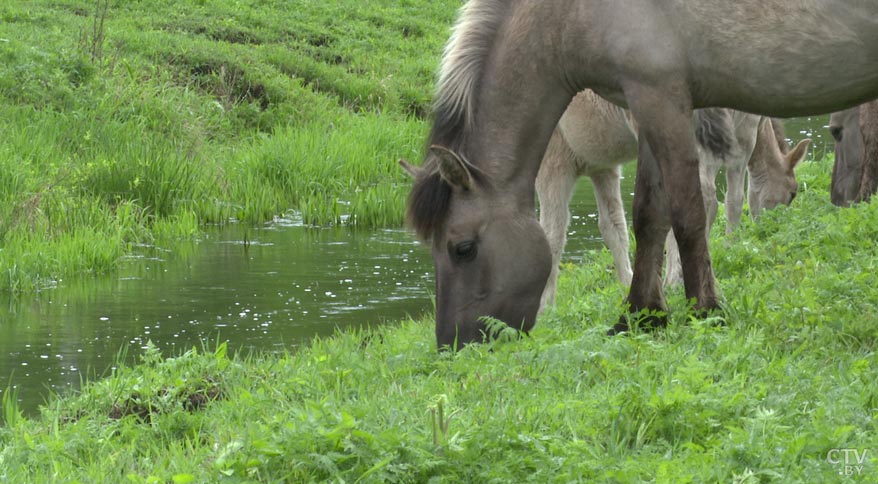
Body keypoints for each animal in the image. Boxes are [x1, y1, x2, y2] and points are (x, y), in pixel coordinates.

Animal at [540, 89, 816, 308]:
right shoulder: (599, 167)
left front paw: (544, 307)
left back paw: (676, 278)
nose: (772, 233)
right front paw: (626, 285)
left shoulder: (556, 163)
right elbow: (613, 228)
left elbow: (553, 235)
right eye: (793, 194)